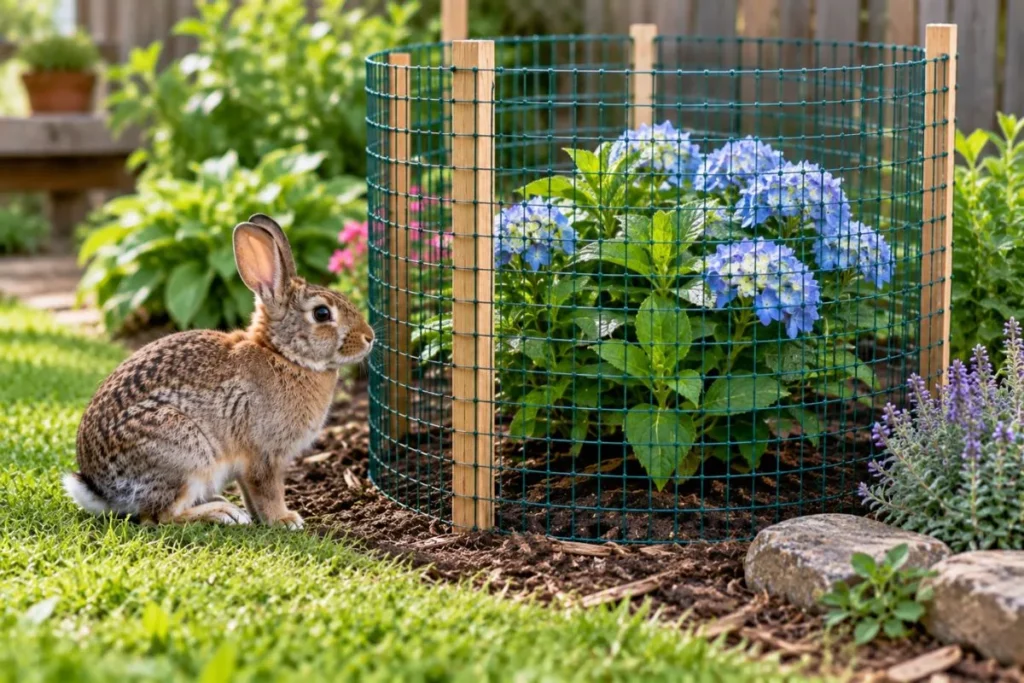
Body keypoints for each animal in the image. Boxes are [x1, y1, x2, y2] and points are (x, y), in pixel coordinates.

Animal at [63, 214, 374, 529]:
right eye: (322, 314)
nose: (369, 337)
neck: (284, 355)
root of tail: (100, 490)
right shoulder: (265, 454)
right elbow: (268, 490)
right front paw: (285, 520)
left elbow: (251, 492)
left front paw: (264, 518)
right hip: (186, 454)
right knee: (159, 516)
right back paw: (222, 513)